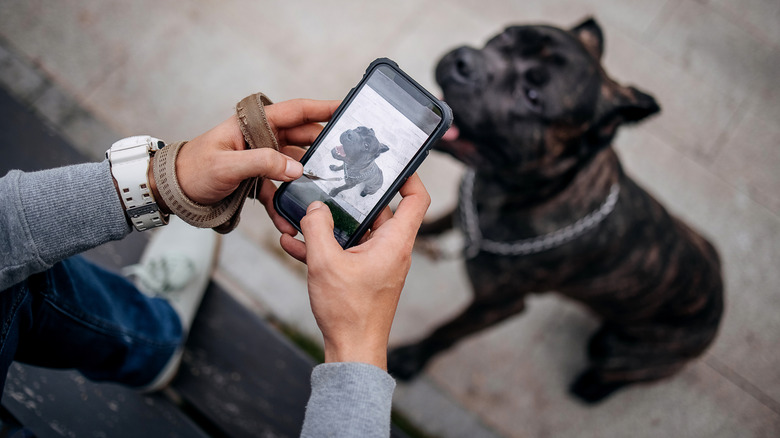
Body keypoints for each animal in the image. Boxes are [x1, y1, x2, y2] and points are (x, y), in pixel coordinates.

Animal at [388, 20, 724, 404]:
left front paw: (411, 358)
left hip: (620, 347)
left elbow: (447, 331)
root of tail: (719, 307)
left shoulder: (496, 304)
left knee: (621, 371)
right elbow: (437, 223)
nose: (464, 61)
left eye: (533, 96)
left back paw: (593, 387)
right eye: (506, 36)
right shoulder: (463, 207)